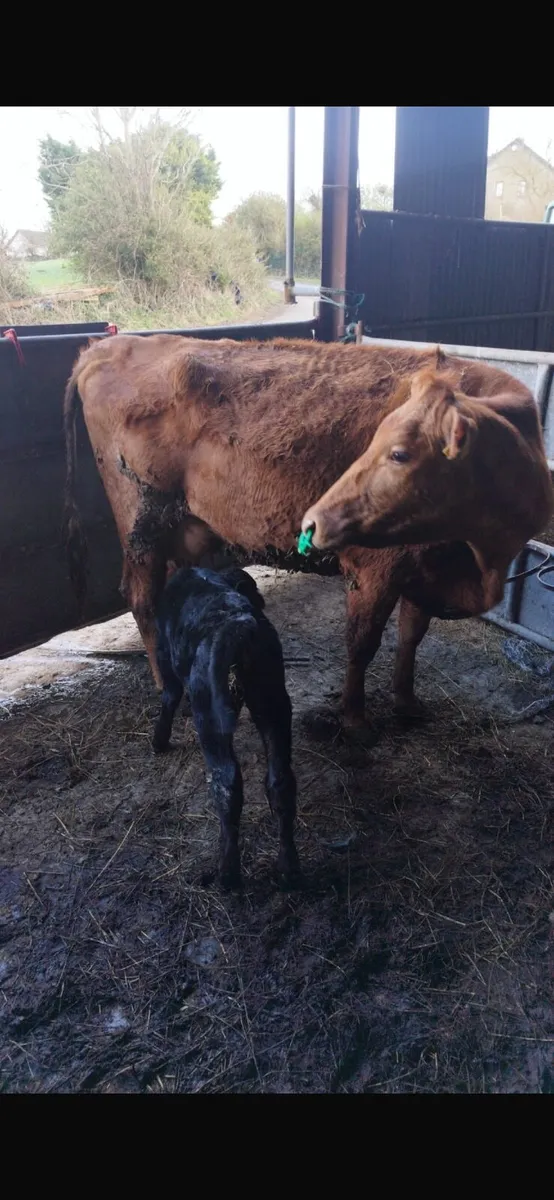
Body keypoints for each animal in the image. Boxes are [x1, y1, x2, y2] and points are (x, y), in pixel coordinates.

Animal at [63, 335, 553, 729]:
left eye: (398, 453)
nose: (315, 521)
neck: (478, 562)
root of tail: (106, 346)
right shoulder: (375, 571)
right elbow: (362, 644)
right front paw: (355, 720)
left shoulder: (424, 571)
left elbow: (411, 637)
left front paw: (407, 703)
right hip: (140, 524)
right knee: (141, 598)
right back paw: (168, 687)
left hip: (181, 529)